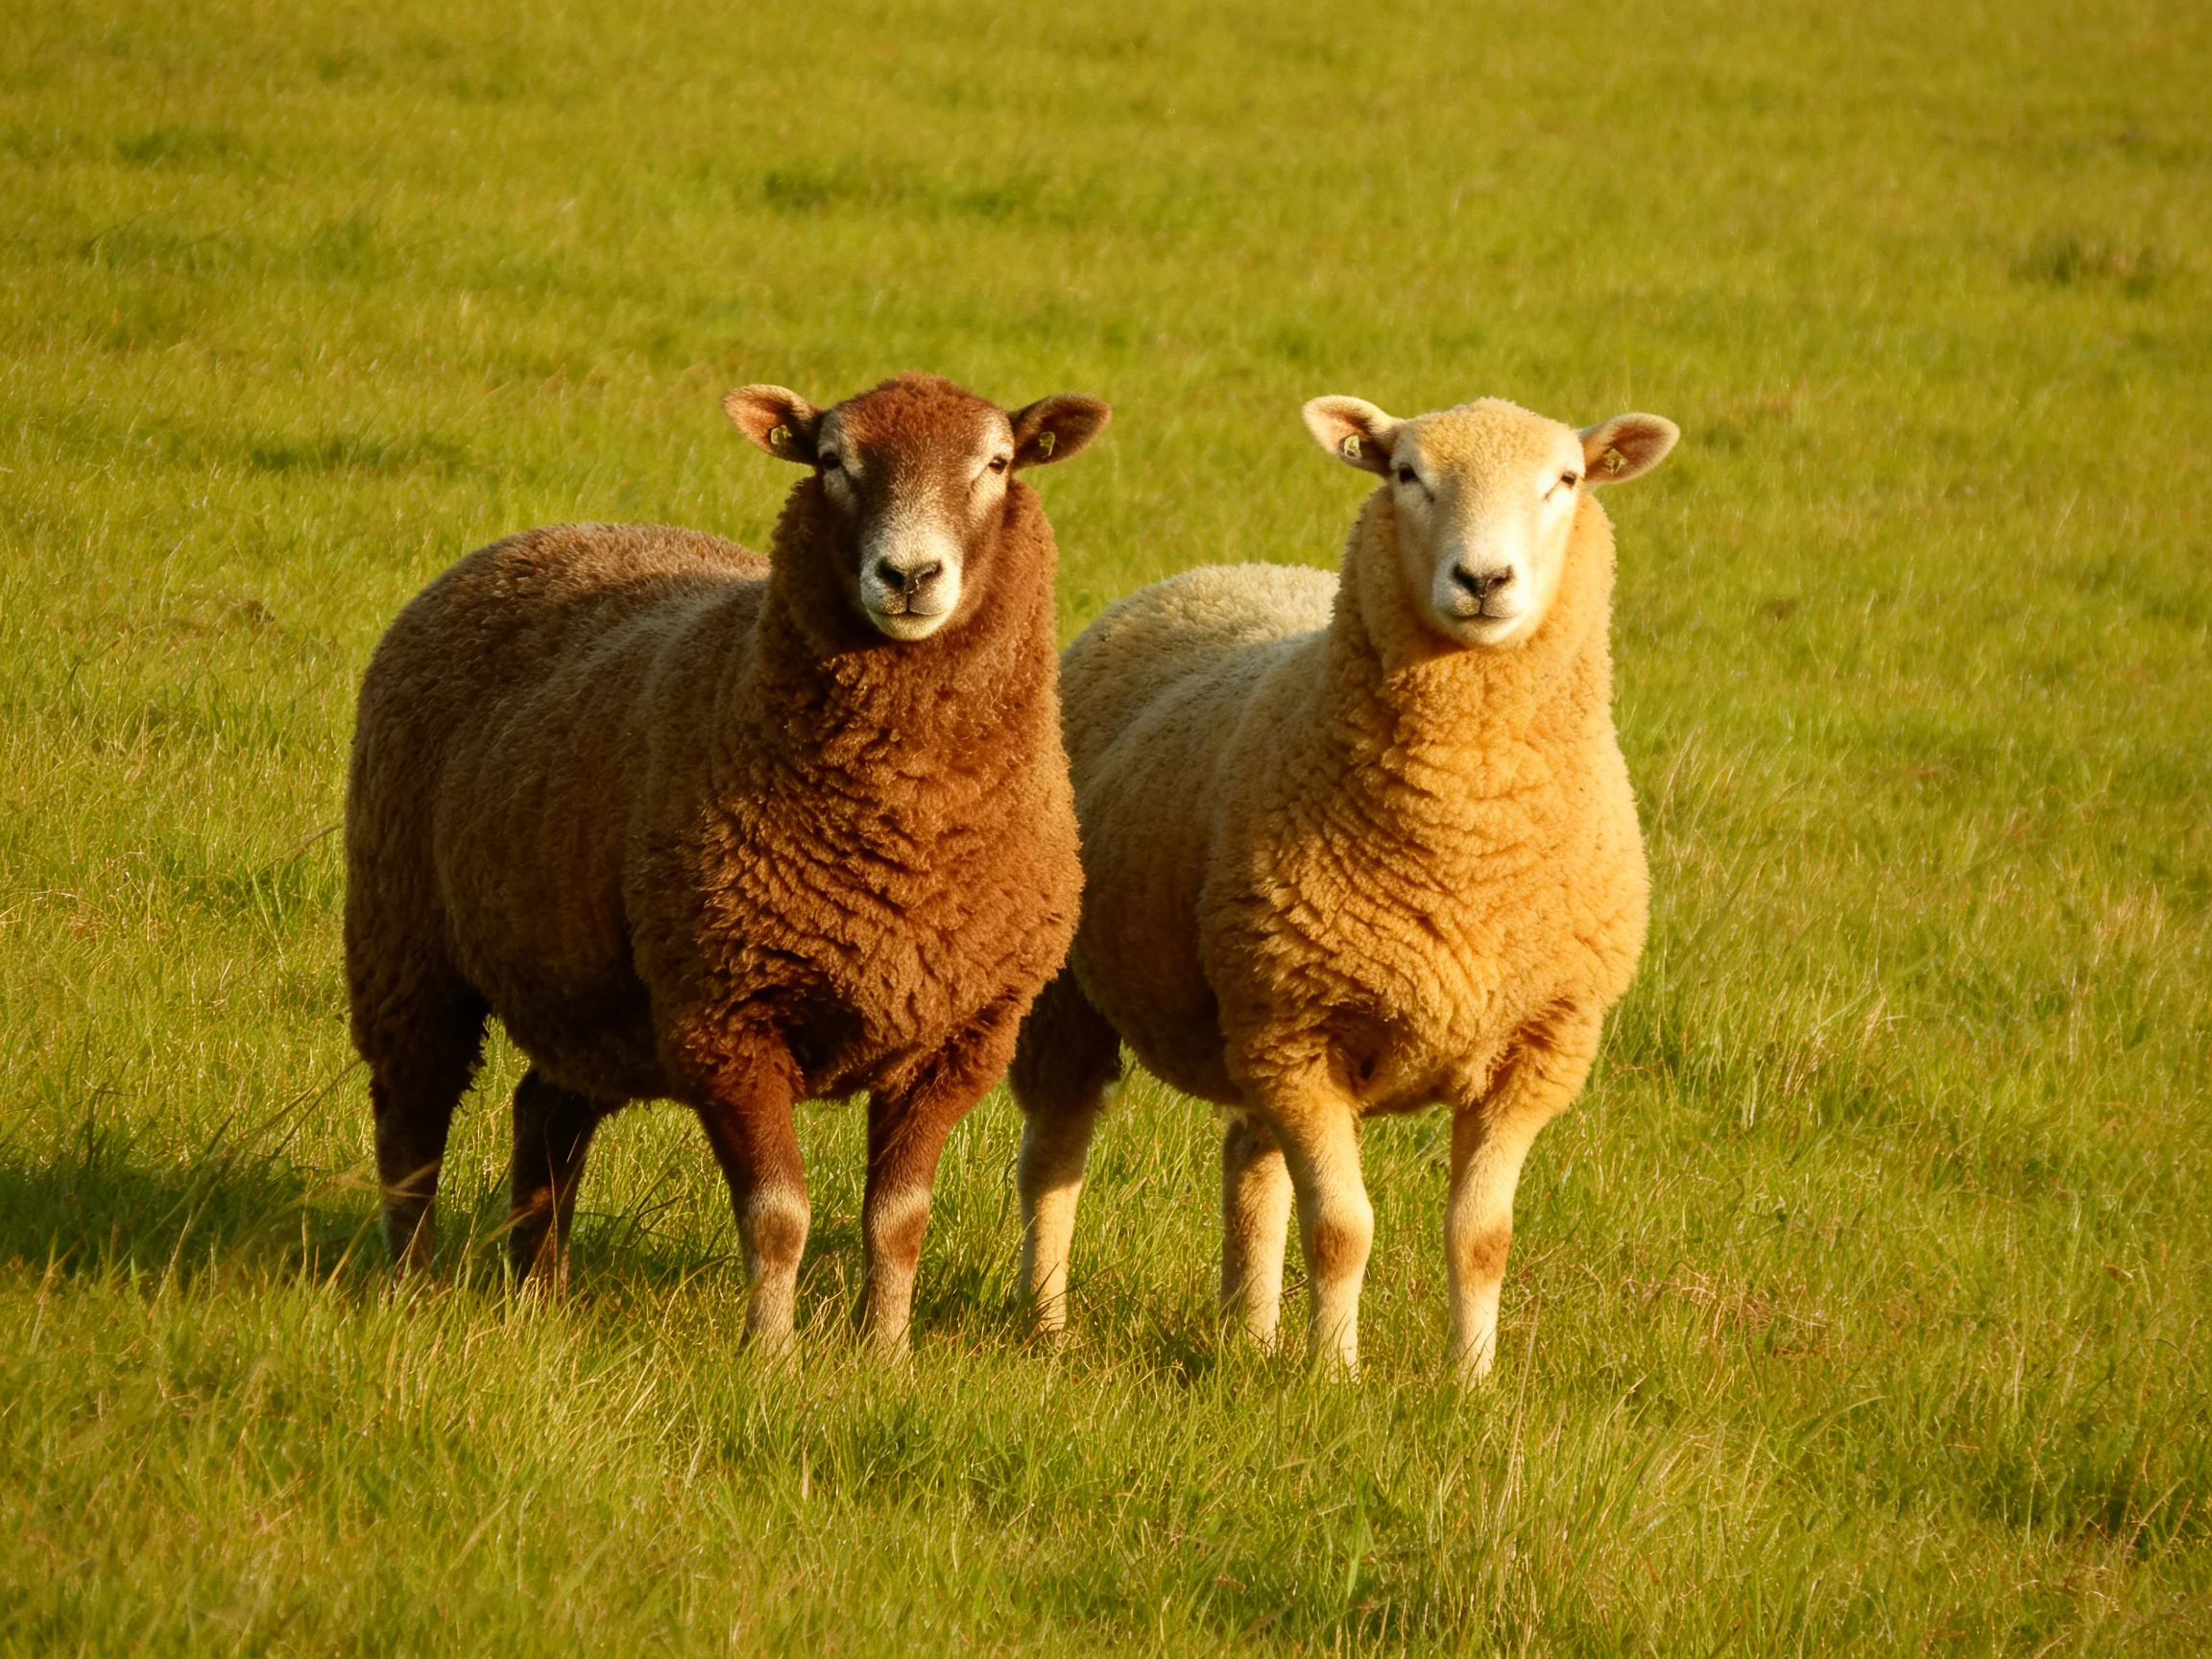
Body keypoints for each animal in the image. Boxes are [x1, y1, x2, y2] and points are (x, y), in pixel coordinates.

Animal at [344, 372, 1109, 1355]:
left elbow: (899, 1222)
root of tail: (532, 537)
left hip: (601, 1000)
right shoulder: (728, 1017)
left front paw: (885, 1355)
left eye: (999, 462)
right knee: (412, 1115)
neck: (905, 837)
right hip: (404, 934)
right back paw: (410, 1285)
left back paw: (538, 1294)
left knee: (544, 1113)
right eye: (832, 460)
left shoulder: (958, 1038)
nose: (908, 578)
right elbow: (779, 1216)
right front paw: (771, 1358)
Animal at [1009, 392, 1676, 1380]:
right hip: (1081, 996)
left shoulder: (1535, 1048)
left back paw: (1250, 1337)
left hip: (1256, 1022)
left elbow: (1482, 1237)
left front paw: (1470, 1384)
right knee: (1055, 1152)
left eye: (1565, 480)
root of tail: (1219, 570)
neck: (1467, 842)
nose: (1484, 579)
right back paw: (1046, 1324)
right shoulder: (1302, 1030)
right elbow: (1342, 1229)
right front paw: (1335, 1376)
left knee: (1250, 1162)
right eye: (1405, 474)